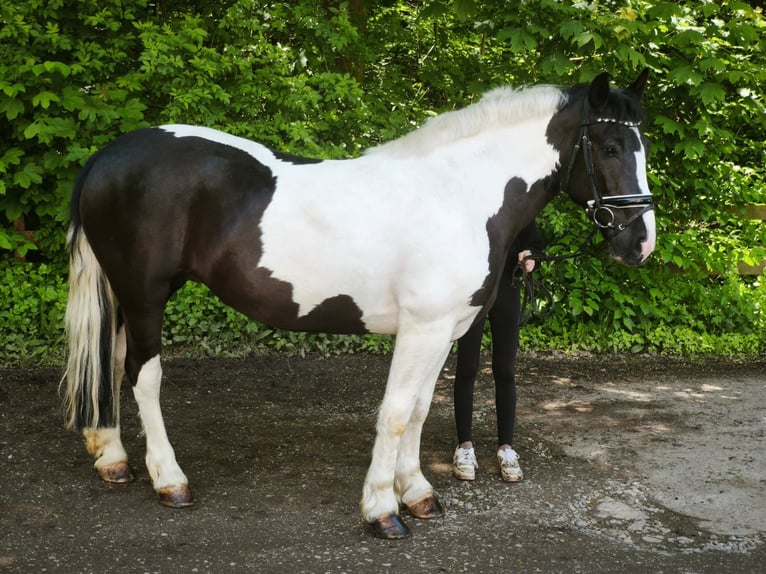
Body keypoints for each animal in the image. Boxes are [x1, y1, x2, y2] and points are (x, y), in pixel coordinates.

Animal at [62, 70, 655, 539]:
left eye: (641, 147)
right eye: (609, 148)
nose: (640, 244)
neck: (457, 195)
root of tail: (108, 155)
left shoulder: (444, 331)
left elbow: (419, 410)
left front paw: (417, 493)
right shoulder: (422, 329)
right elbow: (394, 415)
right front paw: (382, 510)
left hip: (131, 294)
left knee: (113, 362)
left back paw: (112, 457)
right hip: (145, 292)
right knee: (144, 376)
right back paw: (169, 480)